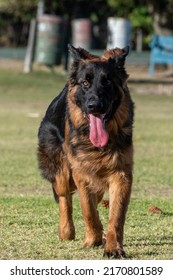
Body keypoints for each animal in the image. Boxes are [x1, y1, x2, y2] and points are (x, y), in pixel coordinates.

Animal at [38, 44, 134, 258]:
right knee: (64, 197)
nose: (94, 106)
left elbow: (116, 216)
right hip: (62, 171)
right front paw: (92, 239)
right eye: (85, 83)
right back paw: (66, 231)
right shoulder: (81, 173)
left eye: (108, 83)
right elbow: (87, 210)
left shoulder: (121, 175)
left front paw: (113, 246)